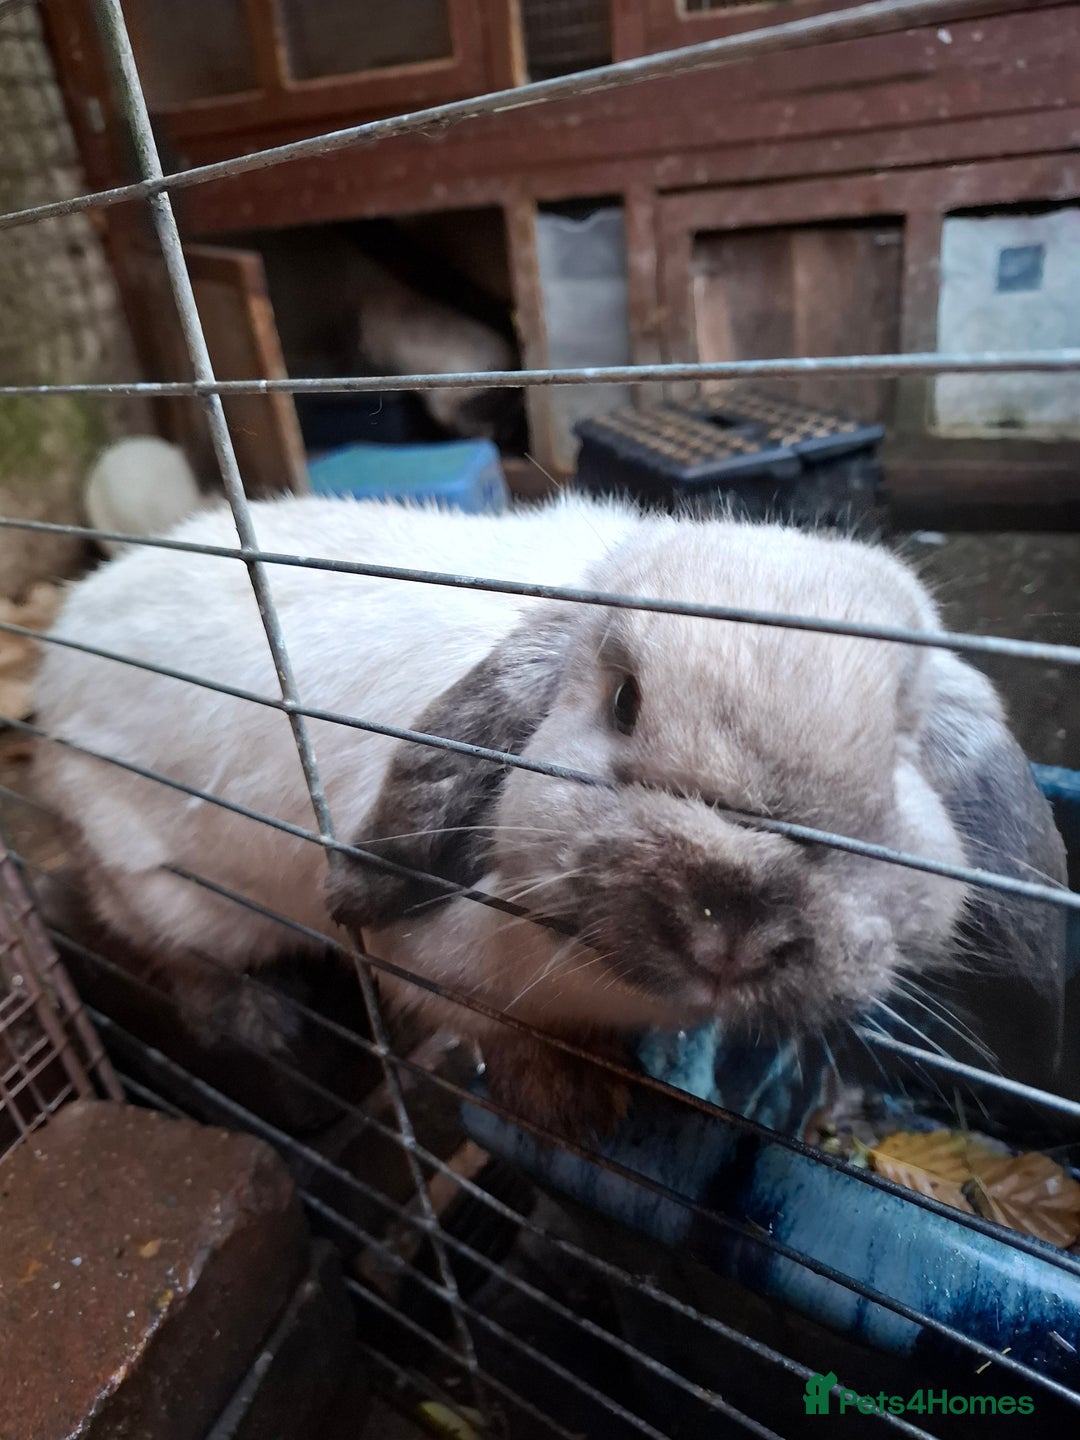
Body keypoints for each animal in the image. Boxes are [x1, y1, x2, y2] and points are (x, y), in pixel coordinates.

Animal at [31, 493, 1067, 1138]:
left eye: (900, 750)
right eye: (624, 702)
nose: (730, 924)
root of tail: (64, 639)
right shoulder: (431, 968)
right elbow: (499, 1033)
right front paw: (575, 1095)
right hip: (158, 880)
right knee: (164, 950)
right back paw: (253, 1018)